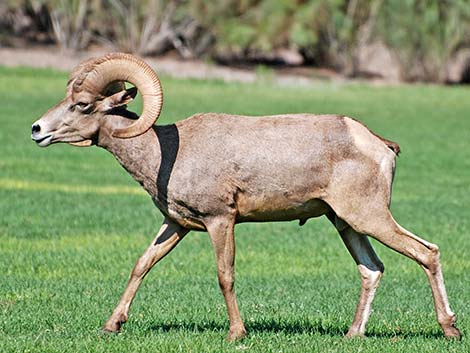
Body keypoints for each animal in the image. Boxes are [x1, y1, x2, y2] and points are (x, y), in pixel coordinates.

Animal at [31, 52, 460, 338]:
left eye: (82, 105)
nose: (37, 130)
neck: (164, 152)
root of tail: (377, 144)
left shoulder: (221, 221)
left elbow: (225, 275)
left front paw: (236, 333)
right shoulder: (175, 225)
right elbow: (142, 265)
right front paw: (112, 325)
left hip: (369, 217)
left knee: (426, 253)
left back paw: (450, 329)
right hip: (346, 224)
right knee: (372, 269)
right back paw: (353, 335)